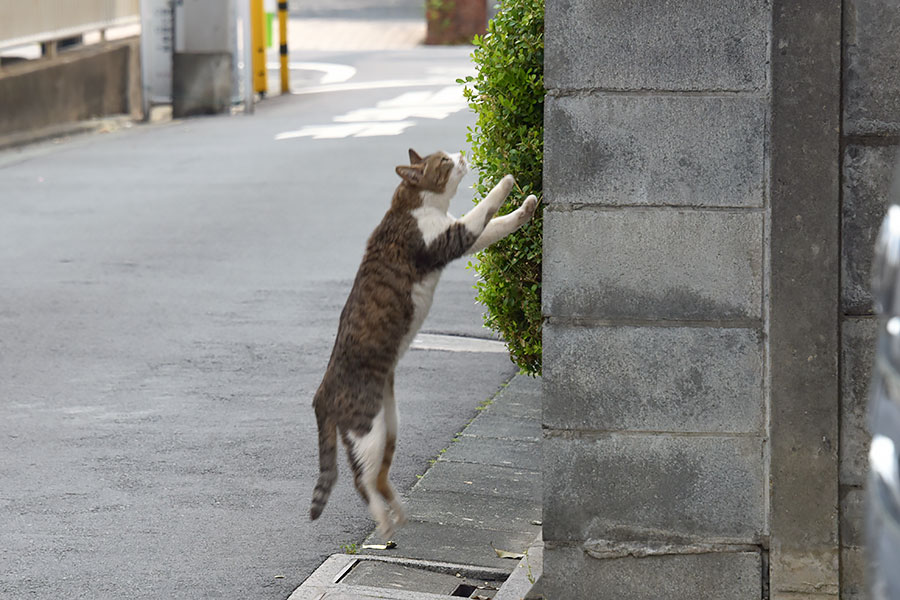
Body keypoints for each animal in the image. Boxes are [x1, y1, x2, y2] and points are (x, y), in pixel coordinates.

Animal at [310, 149, 536, 540]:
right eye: (443, 161)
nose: (461, 154)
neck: (418, 206)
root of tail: (322, 391)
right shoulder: (452, 237)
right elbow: (485, 210)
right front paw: (507, 181)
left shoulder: (462, 235)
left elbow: (497, 224)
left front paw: (528, 206)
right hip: (367, 429)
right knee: (361, 480)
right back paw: (384, 522)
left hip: (391, 426)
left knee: (379, 477)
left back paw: (399, 512)